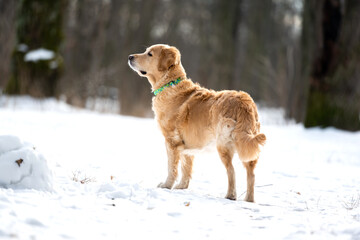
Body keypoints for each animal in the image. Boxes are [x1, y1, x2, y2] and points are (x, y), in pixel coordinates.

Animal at [128, 44, 266, 202]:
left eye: (149, 54)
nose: (130, 57)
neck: (169, 84)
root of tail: (244, 101)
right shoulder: (187, 146)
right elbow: (186, 168)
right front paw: (182, 186)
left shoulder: (171, 141)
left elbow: (172, 167)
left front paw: (167, 185)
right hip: (247, 146)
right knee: (251, 174)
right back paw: (249, 199)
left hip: (223, 144)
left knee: (231, 171)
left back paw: (230, 195)